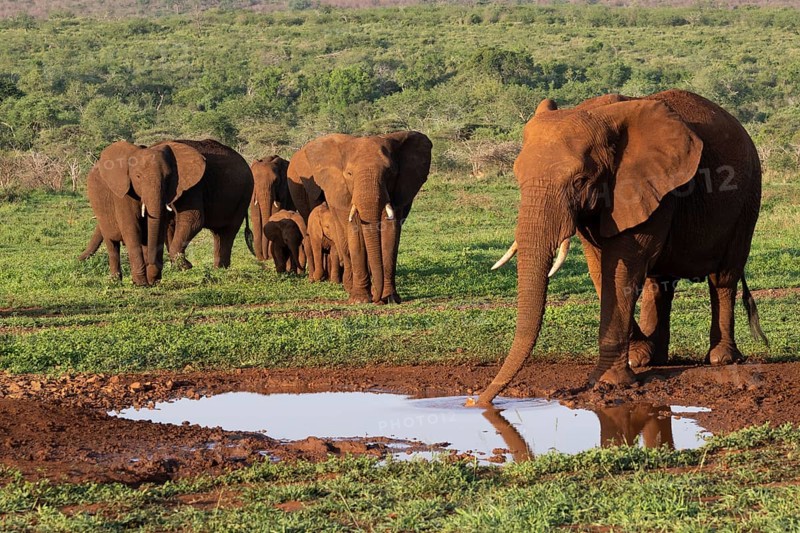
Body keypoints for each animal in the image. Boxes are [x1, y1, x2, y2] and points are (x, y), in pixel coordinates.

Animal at [80, 139, 254, 283]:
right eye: (138, 176)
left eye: (169, 178)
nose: (79, 259)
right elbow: (147, 226)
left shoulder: (192, 186)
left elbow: (193, 219)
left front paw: (183, 267)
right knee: (218, 233)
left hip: (244, 193)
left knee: (228, 231)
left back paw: (220, 270)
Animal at [287, 131, 432, 304]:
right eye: (349, 174)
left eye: (390, 173)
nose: (377, 298)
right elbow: (355, 234)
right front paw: (360, 300)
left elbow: (390, 235)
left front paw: (390, 298)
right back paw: (349, 287)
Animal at [478, 89, 768, 406]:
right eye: (517, 178)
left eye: (580, 181)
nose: (478, 401)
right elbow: (600, 268)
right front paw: (636, 358)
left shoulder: (645, 187)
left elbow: (622, 267)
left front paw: (608, 381)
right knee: (659, 283)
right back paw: (652, 359)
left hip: (748, 198)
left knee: (724, 277)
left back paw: (721, 358)